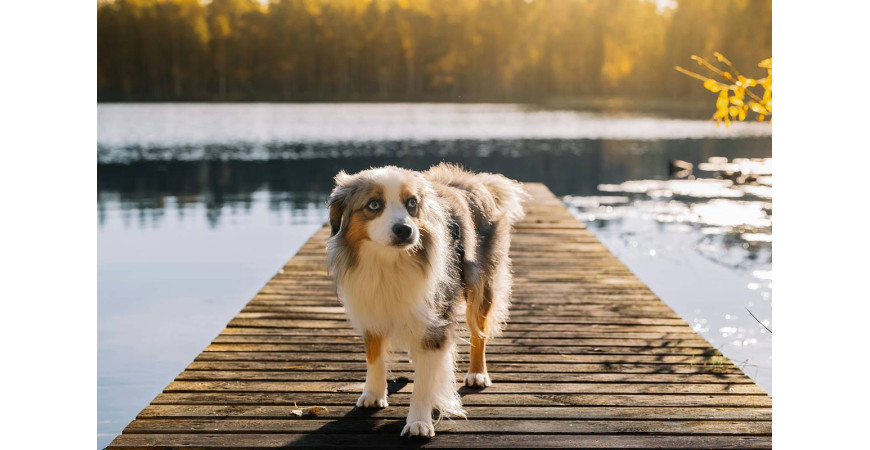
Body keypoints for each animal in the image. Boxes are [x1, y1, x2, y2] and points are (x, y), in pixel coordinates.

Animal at [328, 163, 528, 438]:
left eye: (412, 203)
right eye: (374, 205)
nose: (405, 230)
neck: (389, 262)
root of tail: (472, 180)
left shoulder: (435, 320)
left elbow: (424, 381)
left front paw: (419, 422)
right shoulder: (371, 308)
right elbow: (374, 355)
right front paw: (373, 394)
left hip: (479, 285)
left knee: (479, 331)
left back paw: (477, 373)